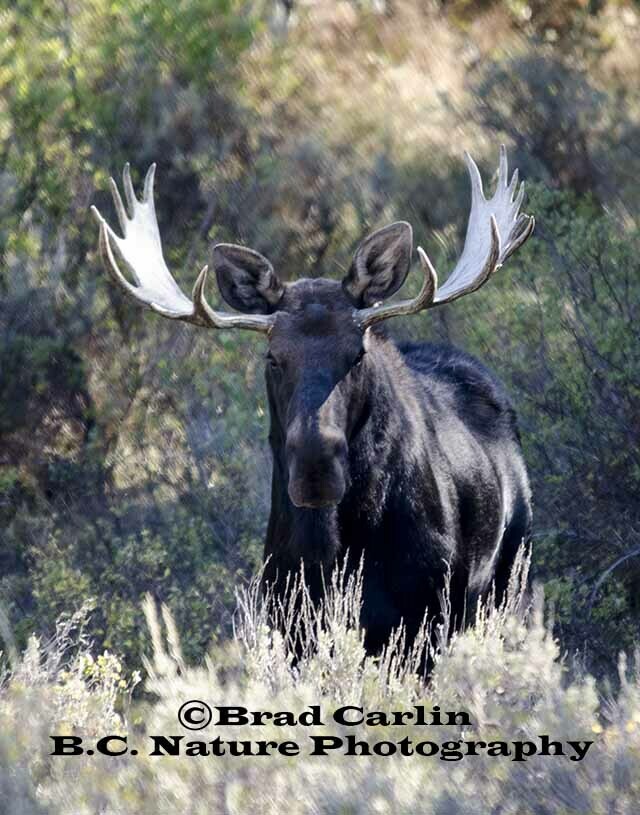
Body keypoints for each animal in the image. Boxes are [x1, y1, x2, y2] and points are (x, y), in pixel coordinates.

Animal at [91, 146, 534, 652]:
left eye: (358, 353)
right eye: (272, 357)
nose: (315, 465)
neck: (337, 548)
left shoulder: (425, 619)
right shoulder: (290, 622)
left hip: (507, 581)